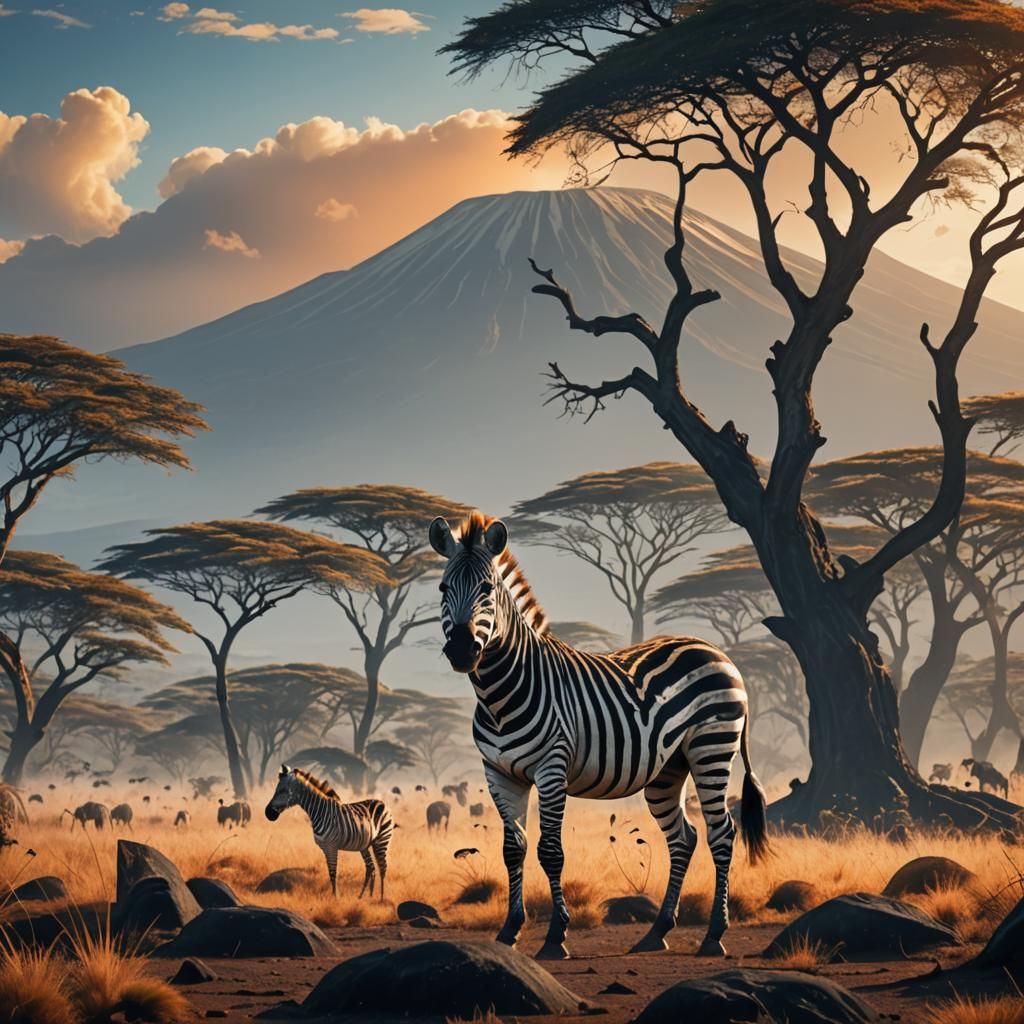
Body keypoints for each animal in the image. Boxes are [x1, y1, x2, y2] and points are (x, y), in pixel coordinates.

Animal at [265, 766, 394, 899]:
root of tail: (381, 803)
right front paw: (334, 896)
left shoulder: (332, 847)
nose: (268, 813)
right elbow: (330, 872)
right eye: (276, 790)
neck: (320, 812)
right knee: (371, 867)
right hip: (364, 845)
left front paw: (335, 897)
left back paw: (380, 899)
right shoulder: (326, 848)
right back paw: (364, 897)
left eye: (282, 791)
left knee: (382, 867)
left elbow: (333, 872)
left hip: (382, 839)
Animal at [429, 512, 769, 960]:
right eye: (442, 588)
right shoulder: (499, 774)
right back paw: (656, 932)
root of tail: (714, 649)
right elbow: (513, 849)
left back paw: (714, 936)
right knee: (684, 838)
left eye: (486, 589)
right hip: (668, 769)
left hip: (711, 749)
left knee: (722, 834)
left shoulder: (551, 768)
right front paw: (509, 931)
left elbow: (550, 852)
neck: (500, 696)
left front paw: (556, 937)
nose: (462, 650)